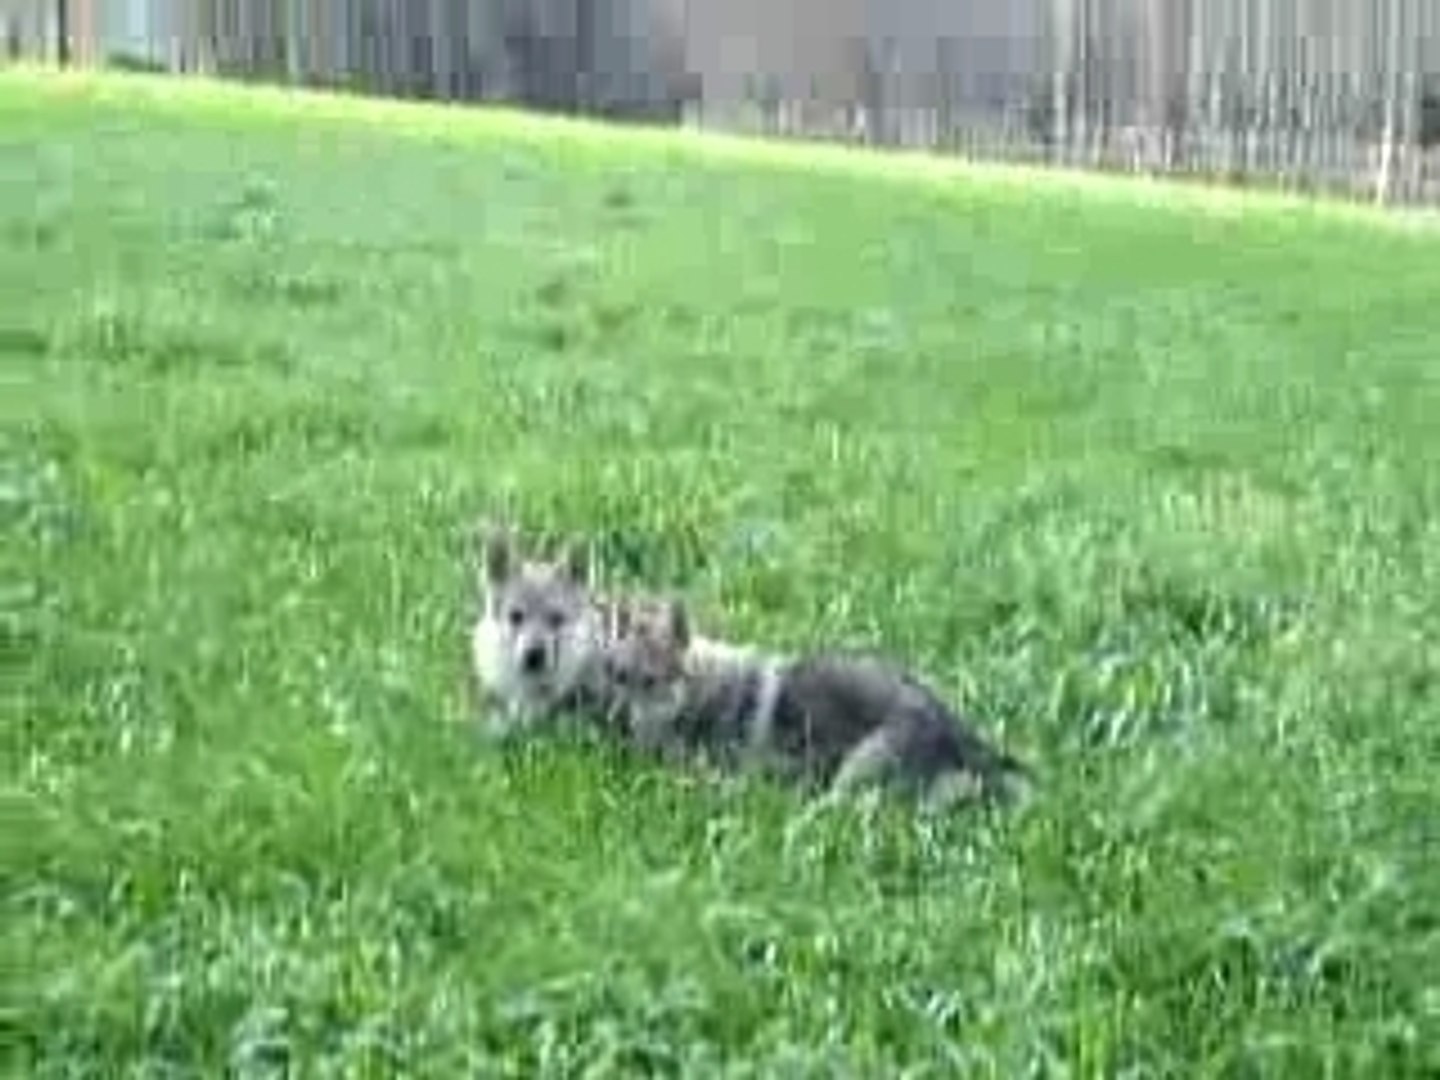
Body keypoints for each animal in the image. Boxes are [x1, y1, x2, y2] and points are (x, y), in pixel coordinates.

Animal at [599, 595, 1033, 811]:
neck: (708, 689)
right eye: (616, 676)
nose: (615, 722)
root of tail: (961, 734)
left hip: (856, 771)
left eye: (648, 682)